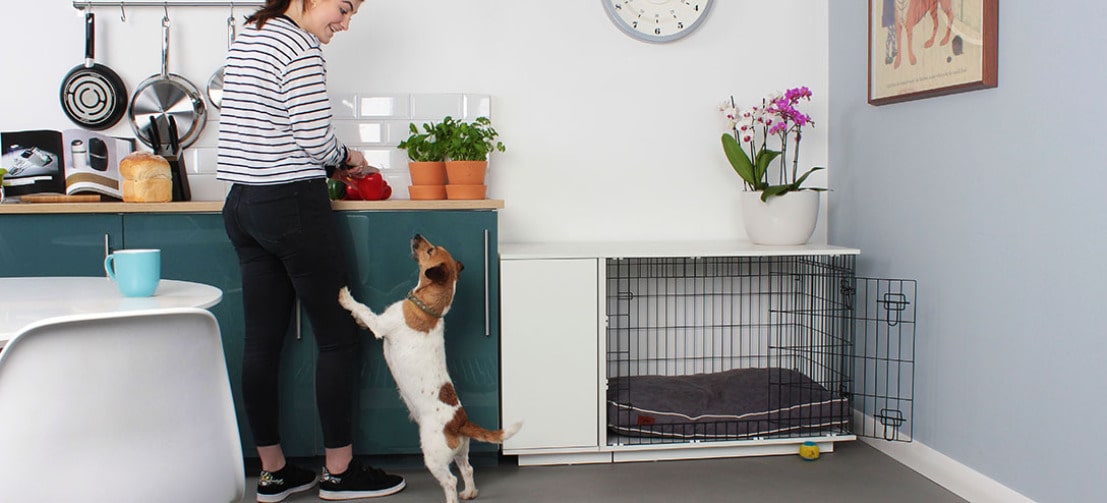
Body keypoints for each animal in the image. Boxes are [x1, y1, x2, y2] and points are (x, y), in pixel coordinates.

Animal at [334, 235, 520, 502]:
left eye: (430, 250)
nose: (417, 236)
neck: (429, 307)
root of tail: (459, 421)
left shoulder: (381, 324)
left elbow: (365, 310)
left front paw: (346, 298)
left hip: (434, 457)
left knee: (451, 480)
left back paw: (453, 496)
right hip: (460, 451)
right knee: (468, 469)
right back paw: (469, 492)